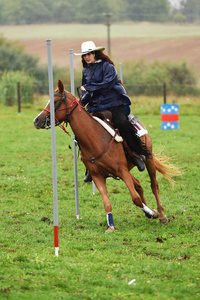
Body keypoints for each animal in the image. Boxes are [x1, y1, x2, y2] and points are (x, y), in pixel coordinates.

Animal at [33, 79, 180, 232]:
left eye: (55, 101)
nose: (36, 120)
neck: (95, 138)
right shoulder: (98, 176)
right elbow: (107, 202)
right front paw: (111, 225)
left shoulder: (122, 171)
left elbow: (135, 199)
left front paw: (152, 212)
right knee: (138, 184)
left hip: (148, 158)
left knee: (153, 185)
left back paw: (161, 215)